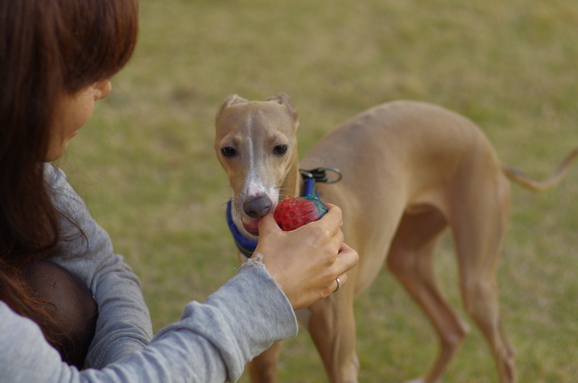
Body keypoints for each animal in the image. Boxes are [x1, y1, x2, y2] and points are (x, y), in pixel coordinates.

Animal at [214, 93, 572, 383]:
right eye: (227, 149)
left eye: (280, 148)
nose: (257, 205)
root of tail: (491, 154)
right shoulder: (262, 358)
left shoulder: (342, 359)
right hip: (407, 258)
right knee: (453, 329)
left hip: (476, 279)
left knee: (503, 350)